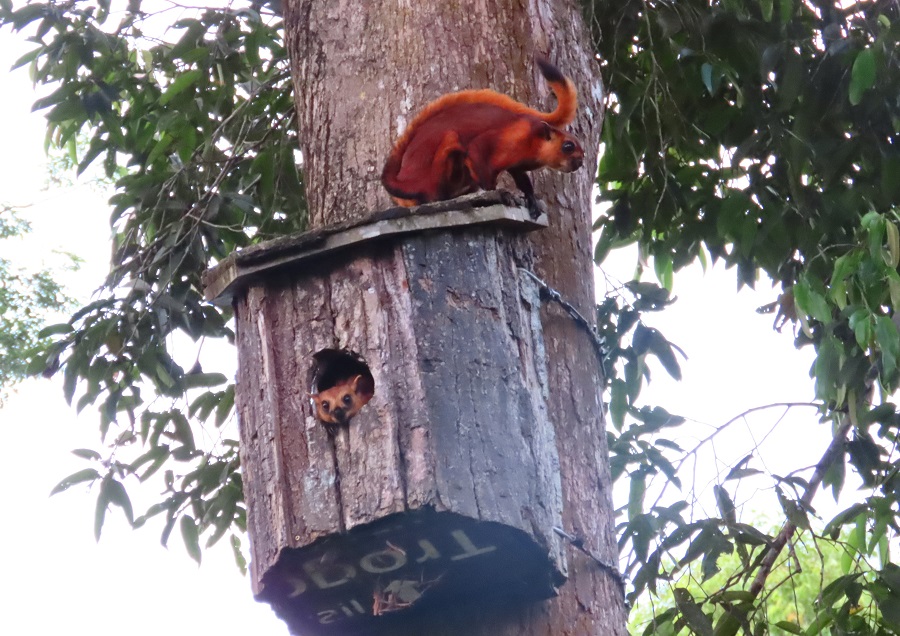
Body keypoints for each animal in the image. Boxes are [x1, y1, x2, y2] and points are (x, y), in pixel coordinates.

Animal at [380, 56, 584, 214]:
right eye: (568, 146)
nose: (580, 161)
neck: (534, 141)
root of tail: (404, 179)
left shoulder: (517, 163)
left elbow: (522, 180)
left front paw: (531, 200)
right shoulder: (505, 139)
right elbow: (479, 158)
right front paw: (498, 194)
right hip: (441, 158)